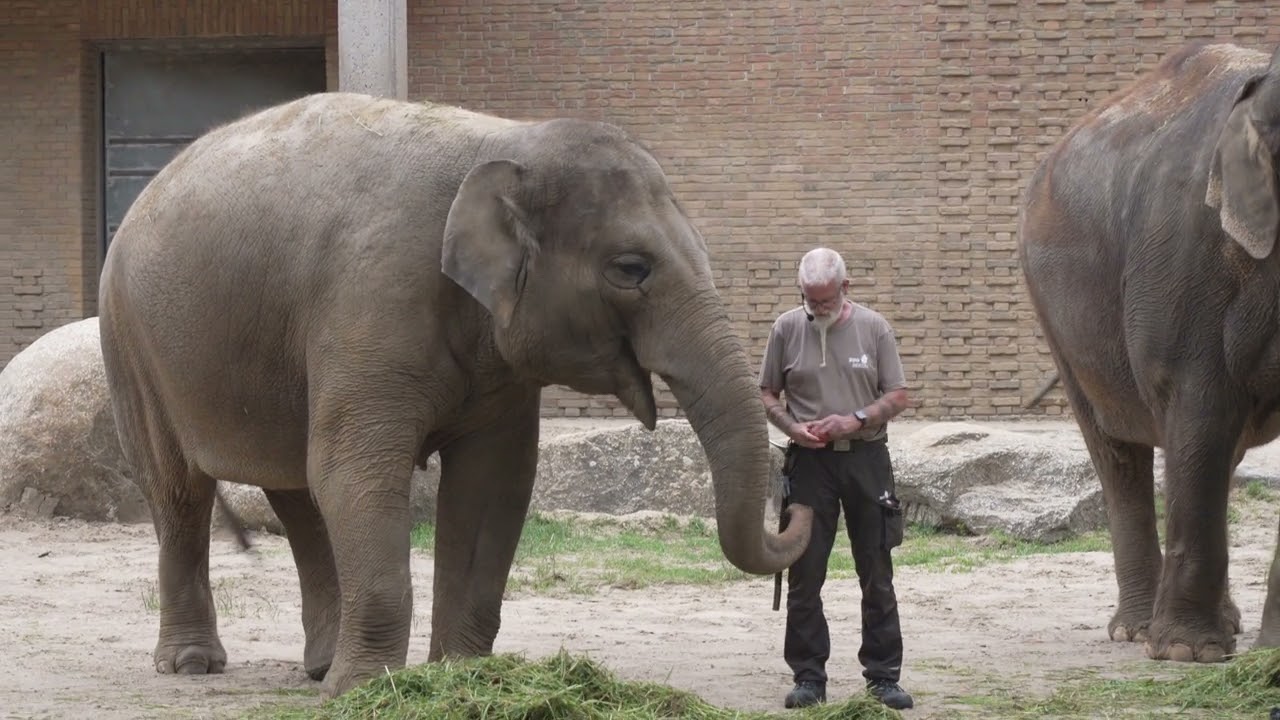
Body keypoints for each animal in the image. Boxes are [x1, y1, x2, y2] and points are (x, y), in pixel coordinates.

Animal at [97, 91, 813, 698]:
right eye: (630, 269)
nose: (796, 504)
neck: (507, 140)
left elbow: (494, 482)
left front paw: (459, 676)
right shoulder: (371, 298)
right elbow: (356, 473)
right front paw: (367, 693)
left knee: (295, 494)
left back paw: (320, 666)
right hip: (129, 342)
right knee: (179, 491)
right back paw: (193, 665)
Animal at [1018, 40, 1280, 664]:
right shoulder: (1189, 258)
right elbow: (1199, 405)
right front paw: (1189, 654)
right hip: (1058, 315)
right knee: (1121, 453)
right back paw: (1141, 632)